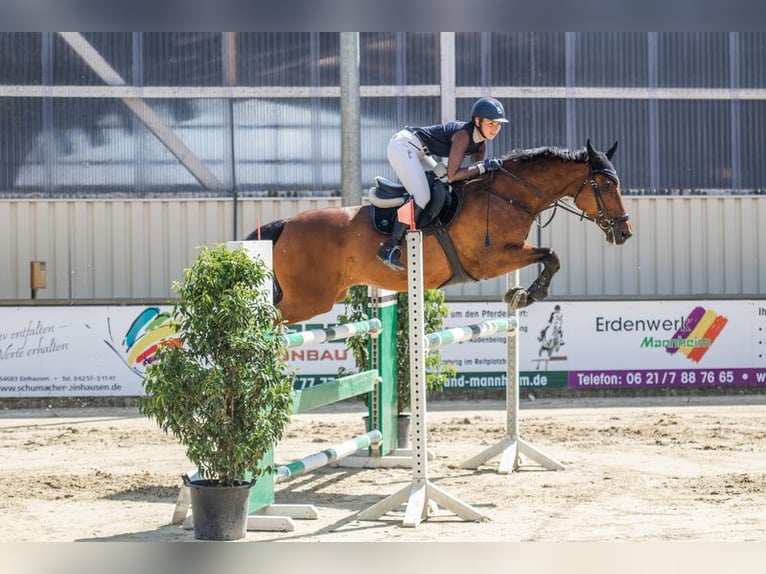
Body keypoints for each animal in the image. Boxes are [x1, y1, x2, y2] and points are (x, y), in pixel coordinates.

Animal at [249, 140, 632, 326]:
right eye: (604, 184)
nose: (625, 231)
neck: (509, 193)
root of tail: (284, 226)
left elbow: (550, 256)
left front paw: (518, 295)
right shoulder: (490, 259)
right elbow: (551, 254)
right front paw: (527, 295)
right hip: (310, 299)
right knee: (268, 319)